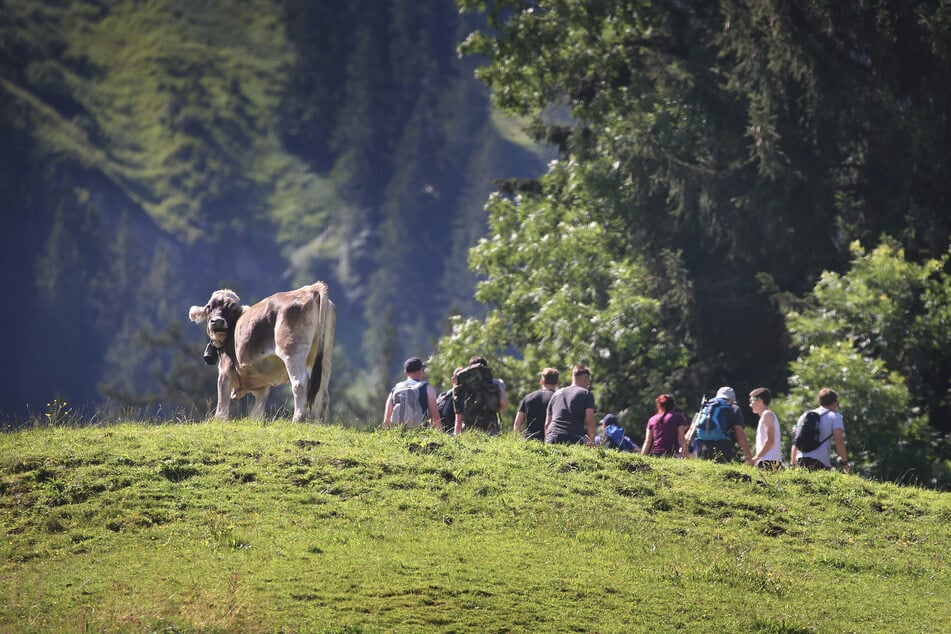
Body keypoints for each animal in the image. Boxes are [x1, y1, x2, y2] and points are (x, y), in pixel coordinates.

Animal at [188, 280, 336, 420]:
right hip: (325, 355)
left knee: (300, 383)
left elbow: (222, 404)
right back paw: (320, 422)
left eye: (233, 310)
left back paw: (297, 419)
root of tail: (310, 289)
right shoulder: (263, 386)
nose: (217, 321)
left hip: (293, 351)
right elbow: (257, 413)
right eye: (209, 307)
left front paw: (219, 420)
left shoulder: (225, 369)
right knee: (323, 392)